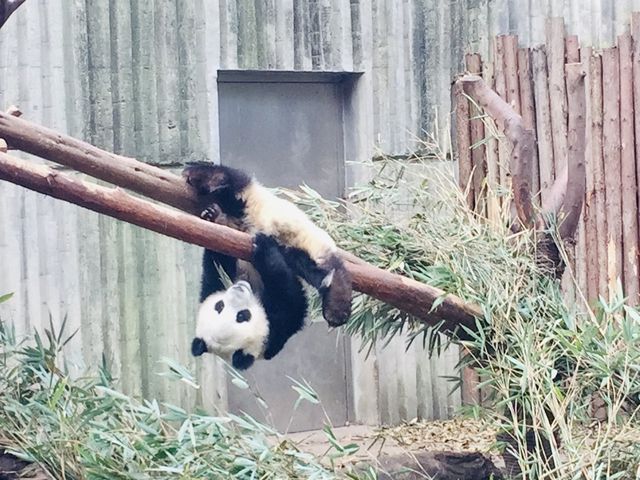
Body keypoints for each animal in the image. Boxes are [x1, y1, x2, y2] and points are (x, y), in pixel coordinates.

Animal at [191, 232, 308, 368]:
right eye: (242, 316)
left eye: (219, 306)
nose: (238, 289)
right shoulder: (277, 326)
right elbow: (291, 298)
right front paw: (264, 248)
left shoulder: (211, 286)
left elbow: (216, 265)